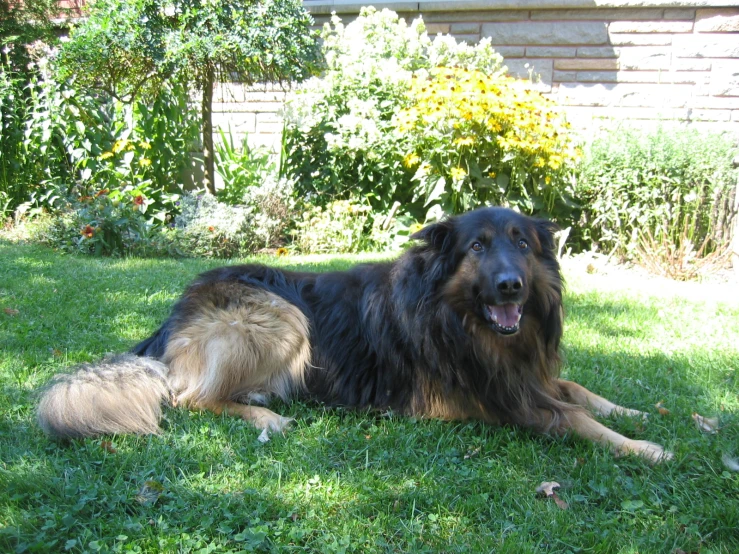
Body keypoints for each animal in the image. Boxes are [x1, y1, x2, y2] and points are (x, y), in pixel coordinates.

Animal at [40, 207, 676, 462]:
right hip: (279, 316)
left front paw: (639, 413)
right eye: (476, 247)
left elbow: (577, 390)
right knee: (188, 396)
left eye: (522, 243)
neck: (457, 317)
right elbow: (572, 417)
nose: (510, 287)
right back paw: (264, 415)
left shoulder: (525, 374)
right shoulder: (496, 398)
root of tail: (173, 315)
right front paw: (644, 448)